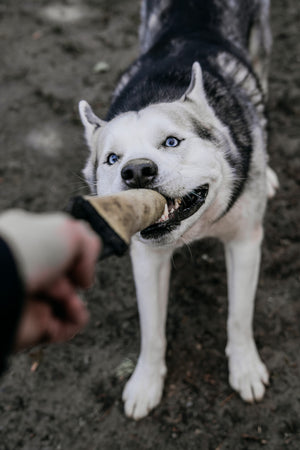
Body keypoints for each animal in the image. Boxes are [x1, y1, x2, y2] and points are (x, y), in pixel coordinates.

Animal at [79, 0, 278, 420]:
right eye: (112, 159)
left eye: (171, 142)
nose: (137, 170)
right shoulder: (146, 258)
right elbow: (152, 328)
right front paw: (146, 382)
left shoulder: (245, 241)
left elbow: (239, 315)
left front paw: (245, 367)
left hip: (260, 52)